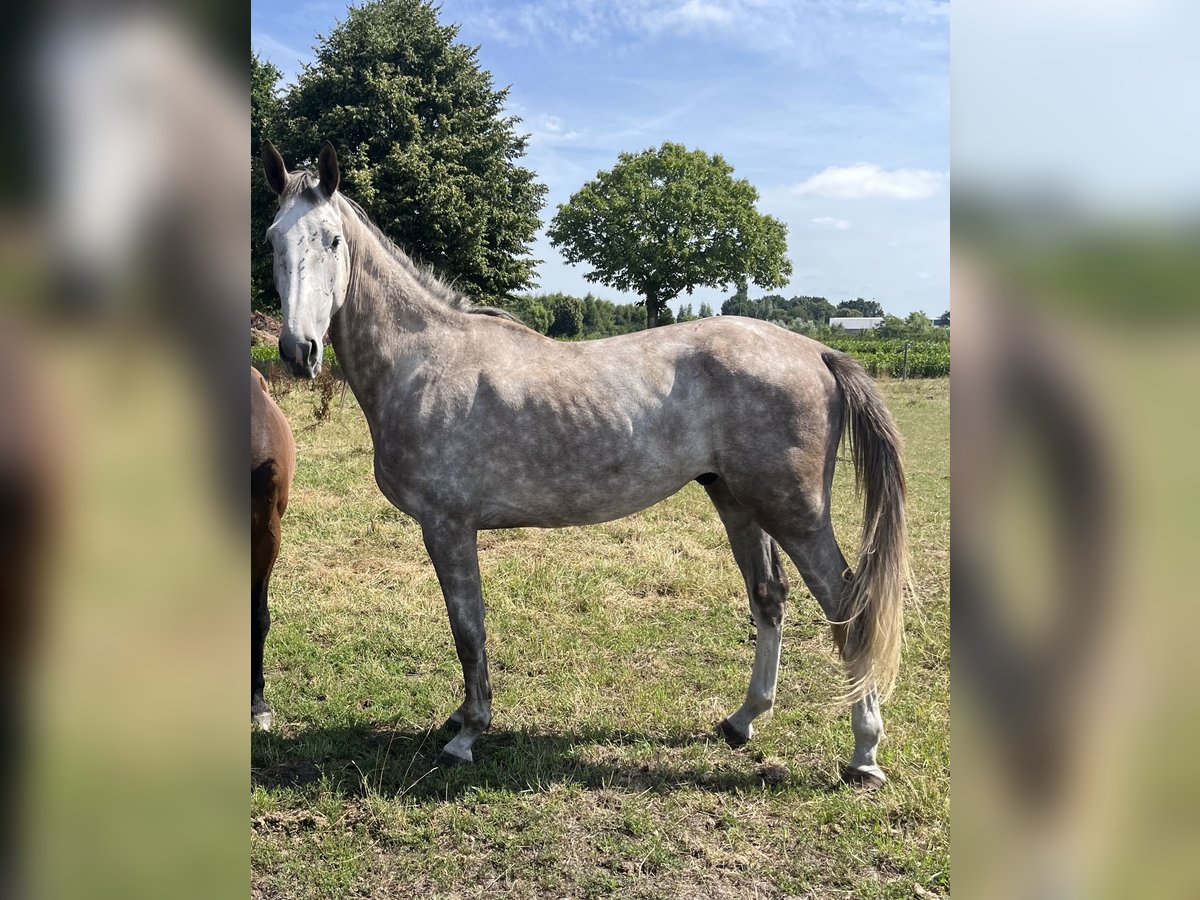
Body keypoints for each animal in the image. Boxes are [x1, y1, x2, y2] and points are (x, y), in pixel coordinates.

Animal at [262, 141, 911, 787]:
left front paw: (468, 733)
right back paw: (743, 720)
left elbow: (468, 627)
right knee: (769, 596)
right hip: (736, 500)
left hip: (794, 513)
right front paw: (463, 719)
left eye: (332, 240)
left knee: (847, 609)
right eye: (272, 239)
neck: (424, 360)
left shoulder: (448, 526)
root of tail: (818, 351)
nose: (299, 351)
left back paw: (864, 754)